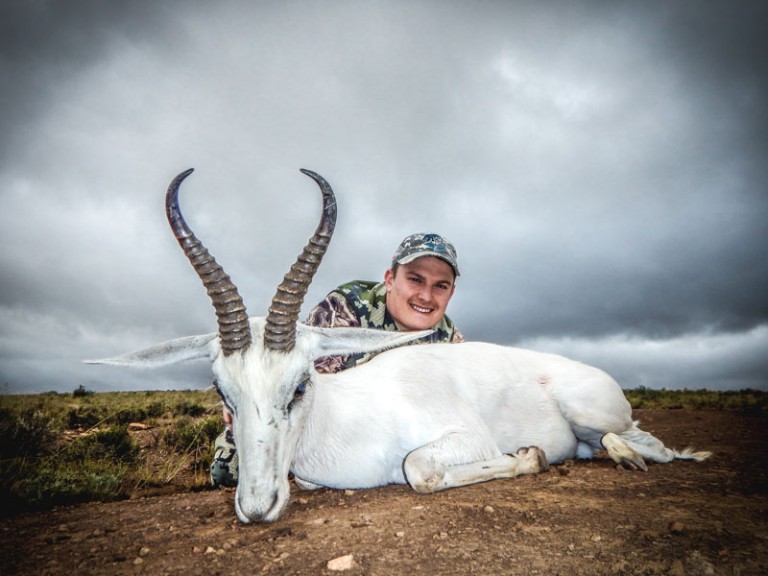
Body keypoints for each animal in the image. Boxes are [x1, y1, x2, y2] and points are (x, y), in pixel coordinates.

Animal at [88, 169, 708, 524]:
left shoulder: (460, 440)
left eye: (300, 385)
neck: (347, 416)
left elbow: (418, 469)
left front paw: (528, 456)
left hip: (591, 410)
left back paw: (643, 456)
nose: (255, 508)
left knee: (647, 443)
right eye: (222, 392)